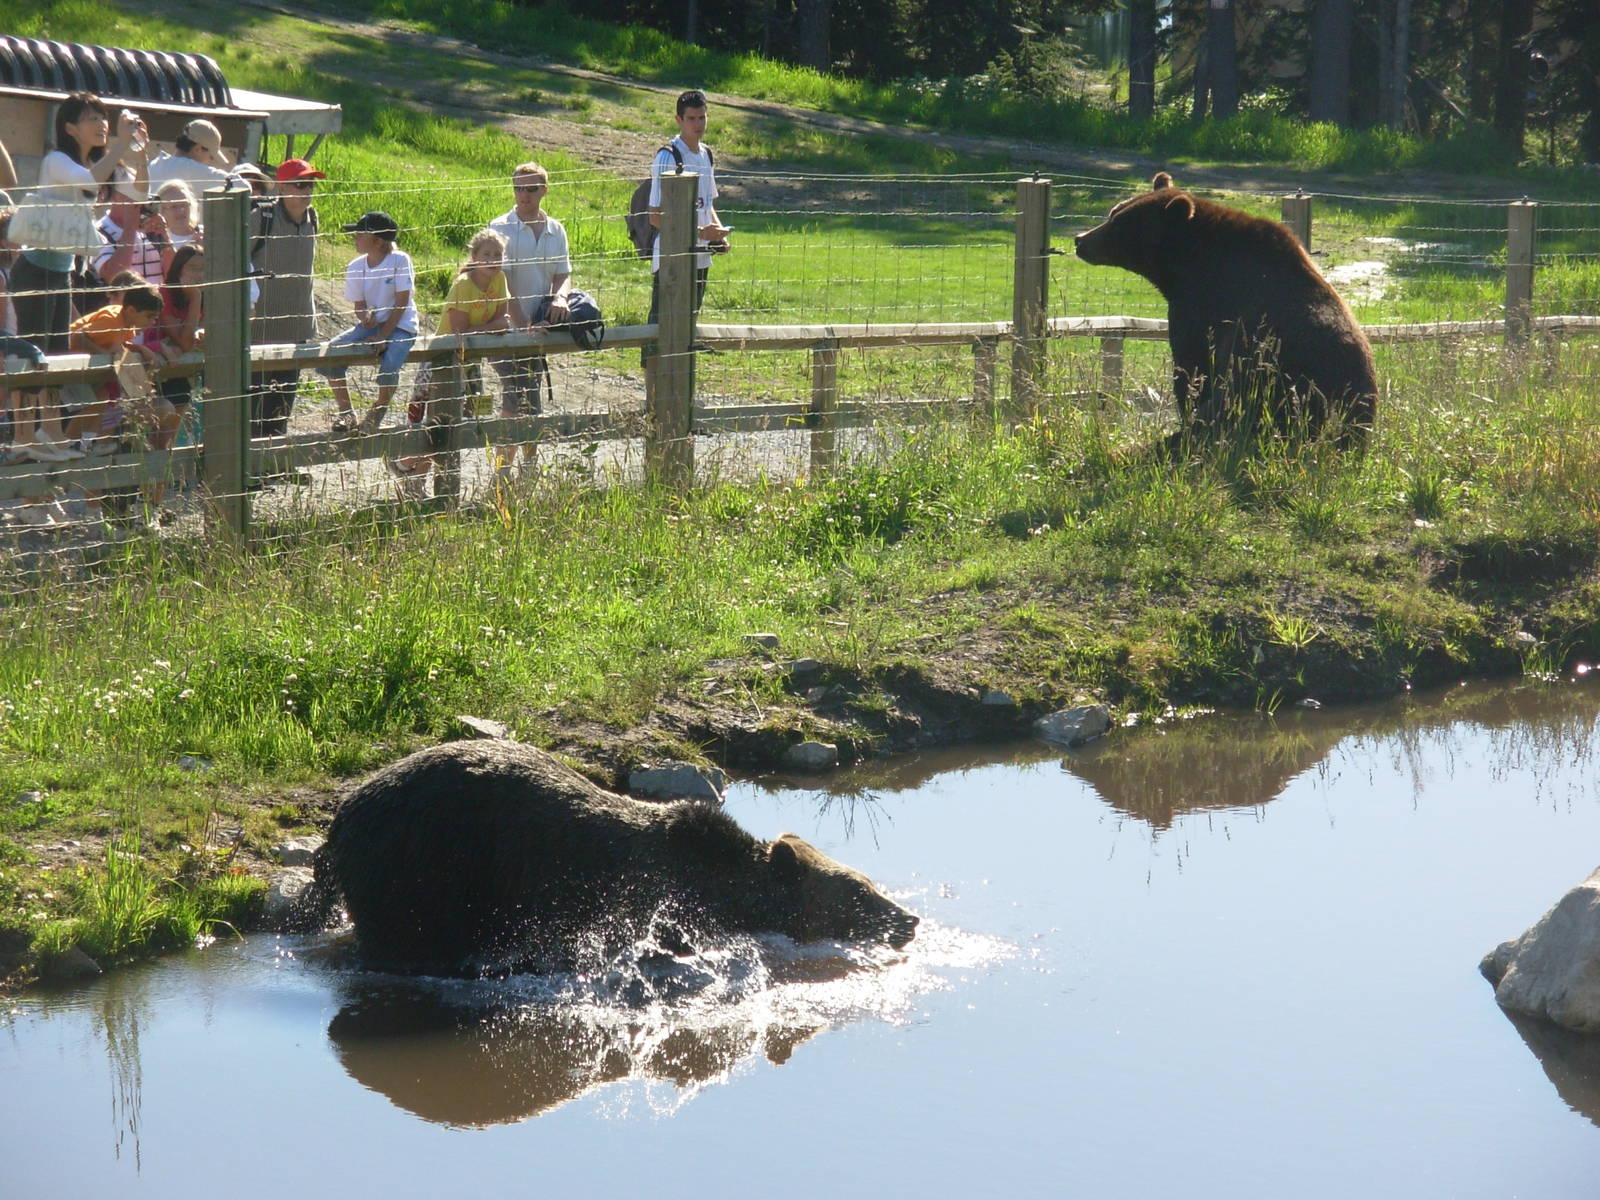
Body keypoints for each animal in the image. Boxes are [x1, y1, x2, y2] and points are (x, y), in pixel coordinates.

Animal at [1074, 172, 1377, 450]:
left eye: (1119, 223)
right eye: (1114, 212)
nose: (1080, 239)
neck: (1186, 263)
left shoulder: (1203, 307)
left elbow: (1192, 368)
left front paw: (1186, 410)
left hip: (1275, 373)